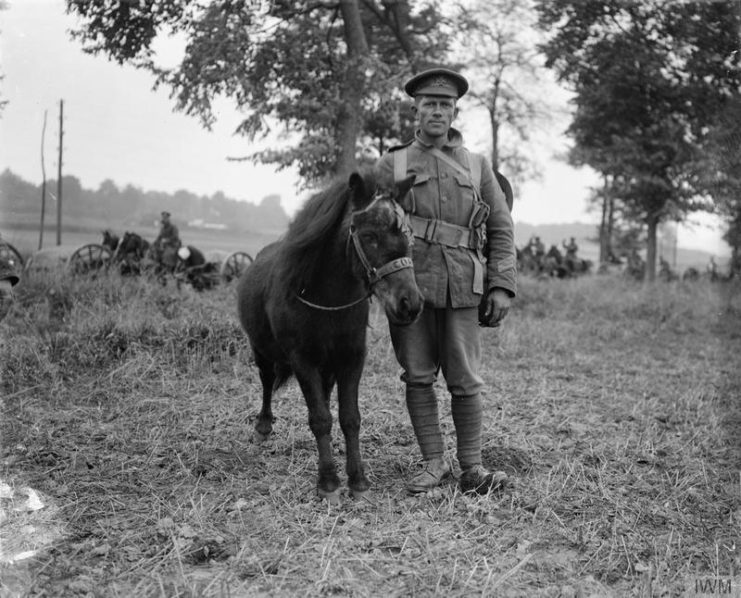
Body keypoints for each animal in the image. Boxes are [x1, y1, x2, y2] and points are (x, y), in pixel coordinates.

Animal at [237, 171, 422, 504]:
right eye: (369, 236)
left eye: (408, 235)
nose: (409, 304)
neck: (326, 297)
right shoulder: (302, 360)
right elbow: (320, 418)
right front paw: (328, 482)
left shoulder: (352, 358)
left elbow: (349, 418)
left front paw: (358, 480)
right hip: (261, 351)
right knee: (267, 384)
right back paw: (263, 426)